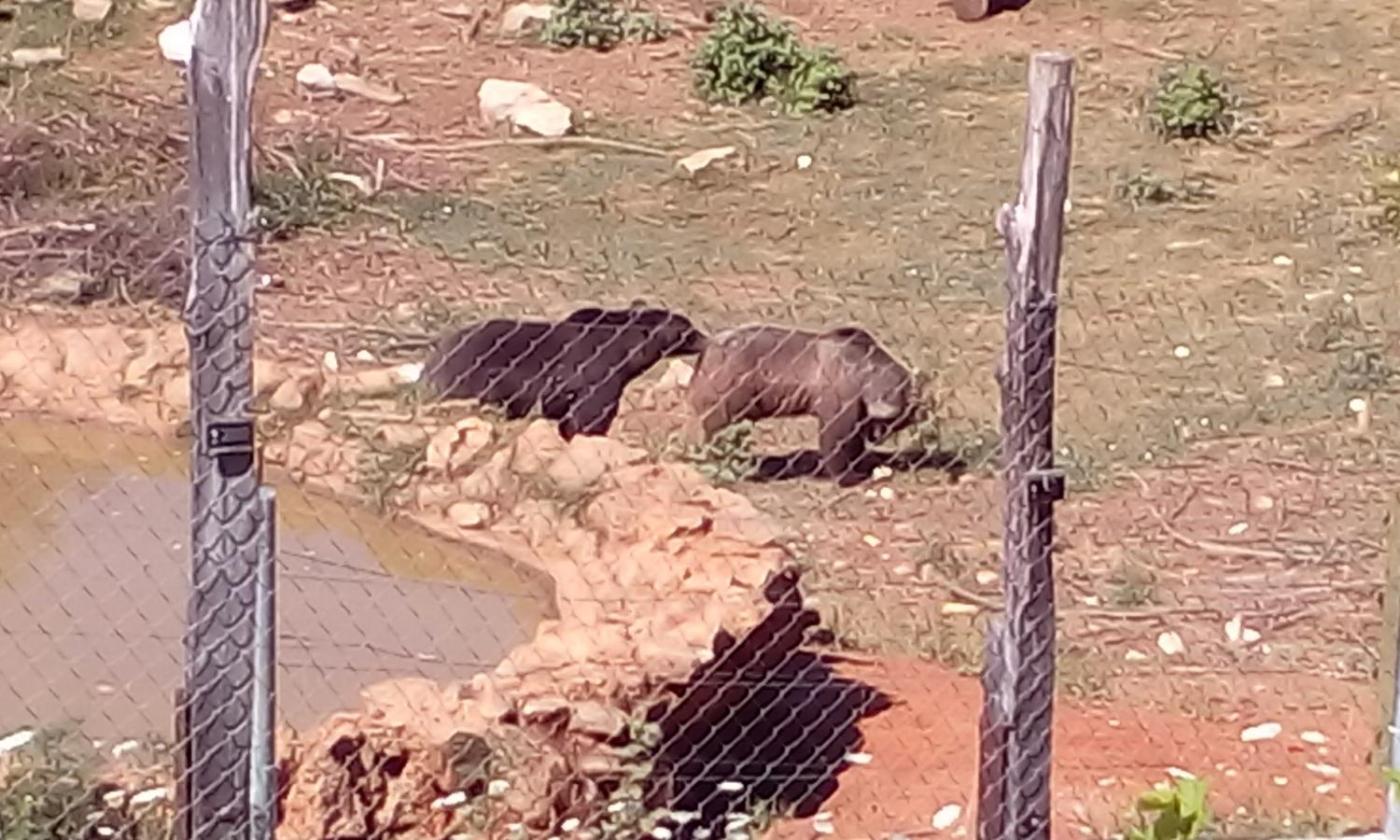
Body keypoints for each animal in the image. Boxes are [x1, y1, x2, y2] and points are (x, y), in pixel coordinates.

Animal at [685, 324, 920, 486]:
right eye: (887, 423)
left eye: (895, 425)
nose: (877, 435)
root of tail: (709, 345)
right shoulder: (840, 403)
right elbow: (835, 441)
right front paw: (847, 477)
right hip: (725, 399)